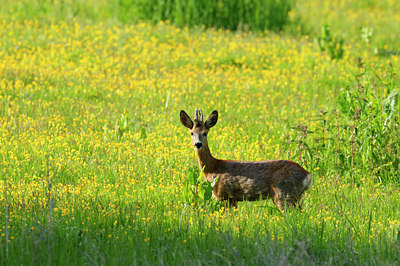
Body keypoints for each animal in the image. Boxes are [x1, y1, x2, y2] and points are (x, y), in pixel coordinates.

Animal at [180, 109, 314, 209]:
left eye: (205, 133)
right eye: (191, 133)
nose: (198, 144)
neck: (213, 168)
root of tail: (307, 175)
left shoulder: (225, 195)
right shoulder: (232, 199)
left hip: (284, 194)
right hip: (295, 196)